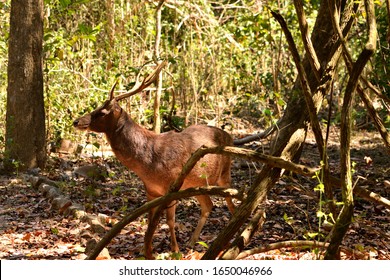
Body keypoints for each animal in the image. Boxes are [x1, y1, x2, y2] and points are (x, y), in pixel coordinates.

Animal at [73, 61, 235, 258]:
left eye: (102, 112)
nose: (76, 121)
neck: (147, 163)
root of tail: (230, 137)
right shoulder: (150, 190)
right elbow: (151, 222)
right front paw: (146, 251)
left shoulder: (171, 186)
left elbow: (170, 221)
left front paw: (174, 251)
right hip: (198, 183)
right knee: (208, 205)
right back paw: (192, 241)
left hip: (224, 172)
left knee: (230, 200)